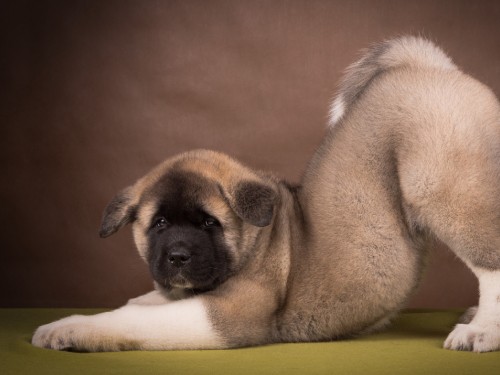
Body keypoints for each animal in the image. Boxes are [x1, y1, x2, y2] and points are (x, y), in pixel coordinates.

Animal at [31, 35, 500, 352]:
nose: (178, 257)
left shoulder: (226, 314)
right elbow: (141, 302)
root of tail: (429, 69)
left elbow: (135, 319)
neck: (256, 241)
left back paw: (482, 330)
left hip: (446, 190)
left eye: (209, 224)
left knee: (490, 266)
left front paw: (69, 326)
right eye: (159, 224)